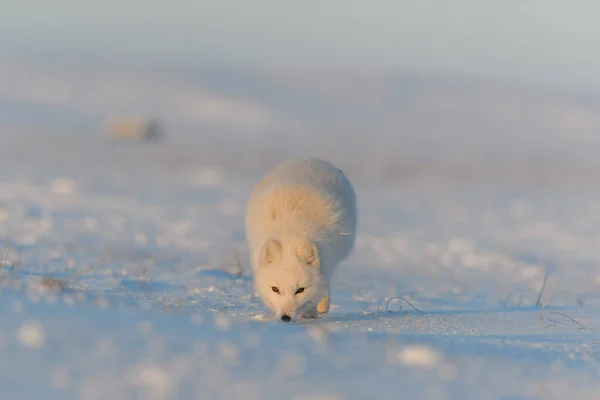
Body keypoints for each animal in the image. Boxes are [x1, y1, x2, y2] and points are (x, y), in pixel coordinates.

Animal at [244, 158, 356, 324]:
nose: (285, 318)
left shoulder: (328, 255)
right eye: (275, 289)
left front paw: (313, 309)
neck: (291, 234)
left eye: (300, 290)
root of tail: (311, 159)